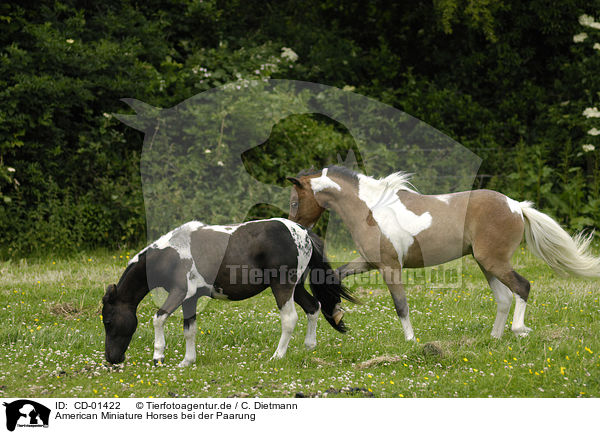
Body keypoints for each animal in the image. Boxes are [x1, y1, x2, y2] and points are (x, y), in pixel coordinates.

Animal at [102, 217, 356, 366]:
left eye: (108, 321)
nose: (111, 359)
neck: (171, 254)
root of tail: (302, 232)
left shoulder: (180, 293)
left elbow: (158, 318)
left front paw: (158, 357)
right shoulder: (190, 299)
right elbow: (189, 330)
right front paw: (187, 361)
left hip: (283, 286)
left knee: (290, 319)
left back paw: (277, 356)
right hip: (296, 287)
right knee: (314, 307)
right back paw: (309, 346)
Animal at [288, 168, 600, 340]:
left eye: (294, 201)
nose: (295, 229)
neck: (370, 210)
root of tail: (516, 206)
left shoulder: (390, 267)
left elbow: (401, 305)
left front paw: (410, 341)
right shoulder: (369, 263)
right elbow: (334, 277)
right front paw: (336, 314)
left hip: (494, 261)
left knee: (522, 287)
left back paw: (519, 330)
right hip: (486, 263)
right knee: (504, 298)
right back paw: (494, 338)